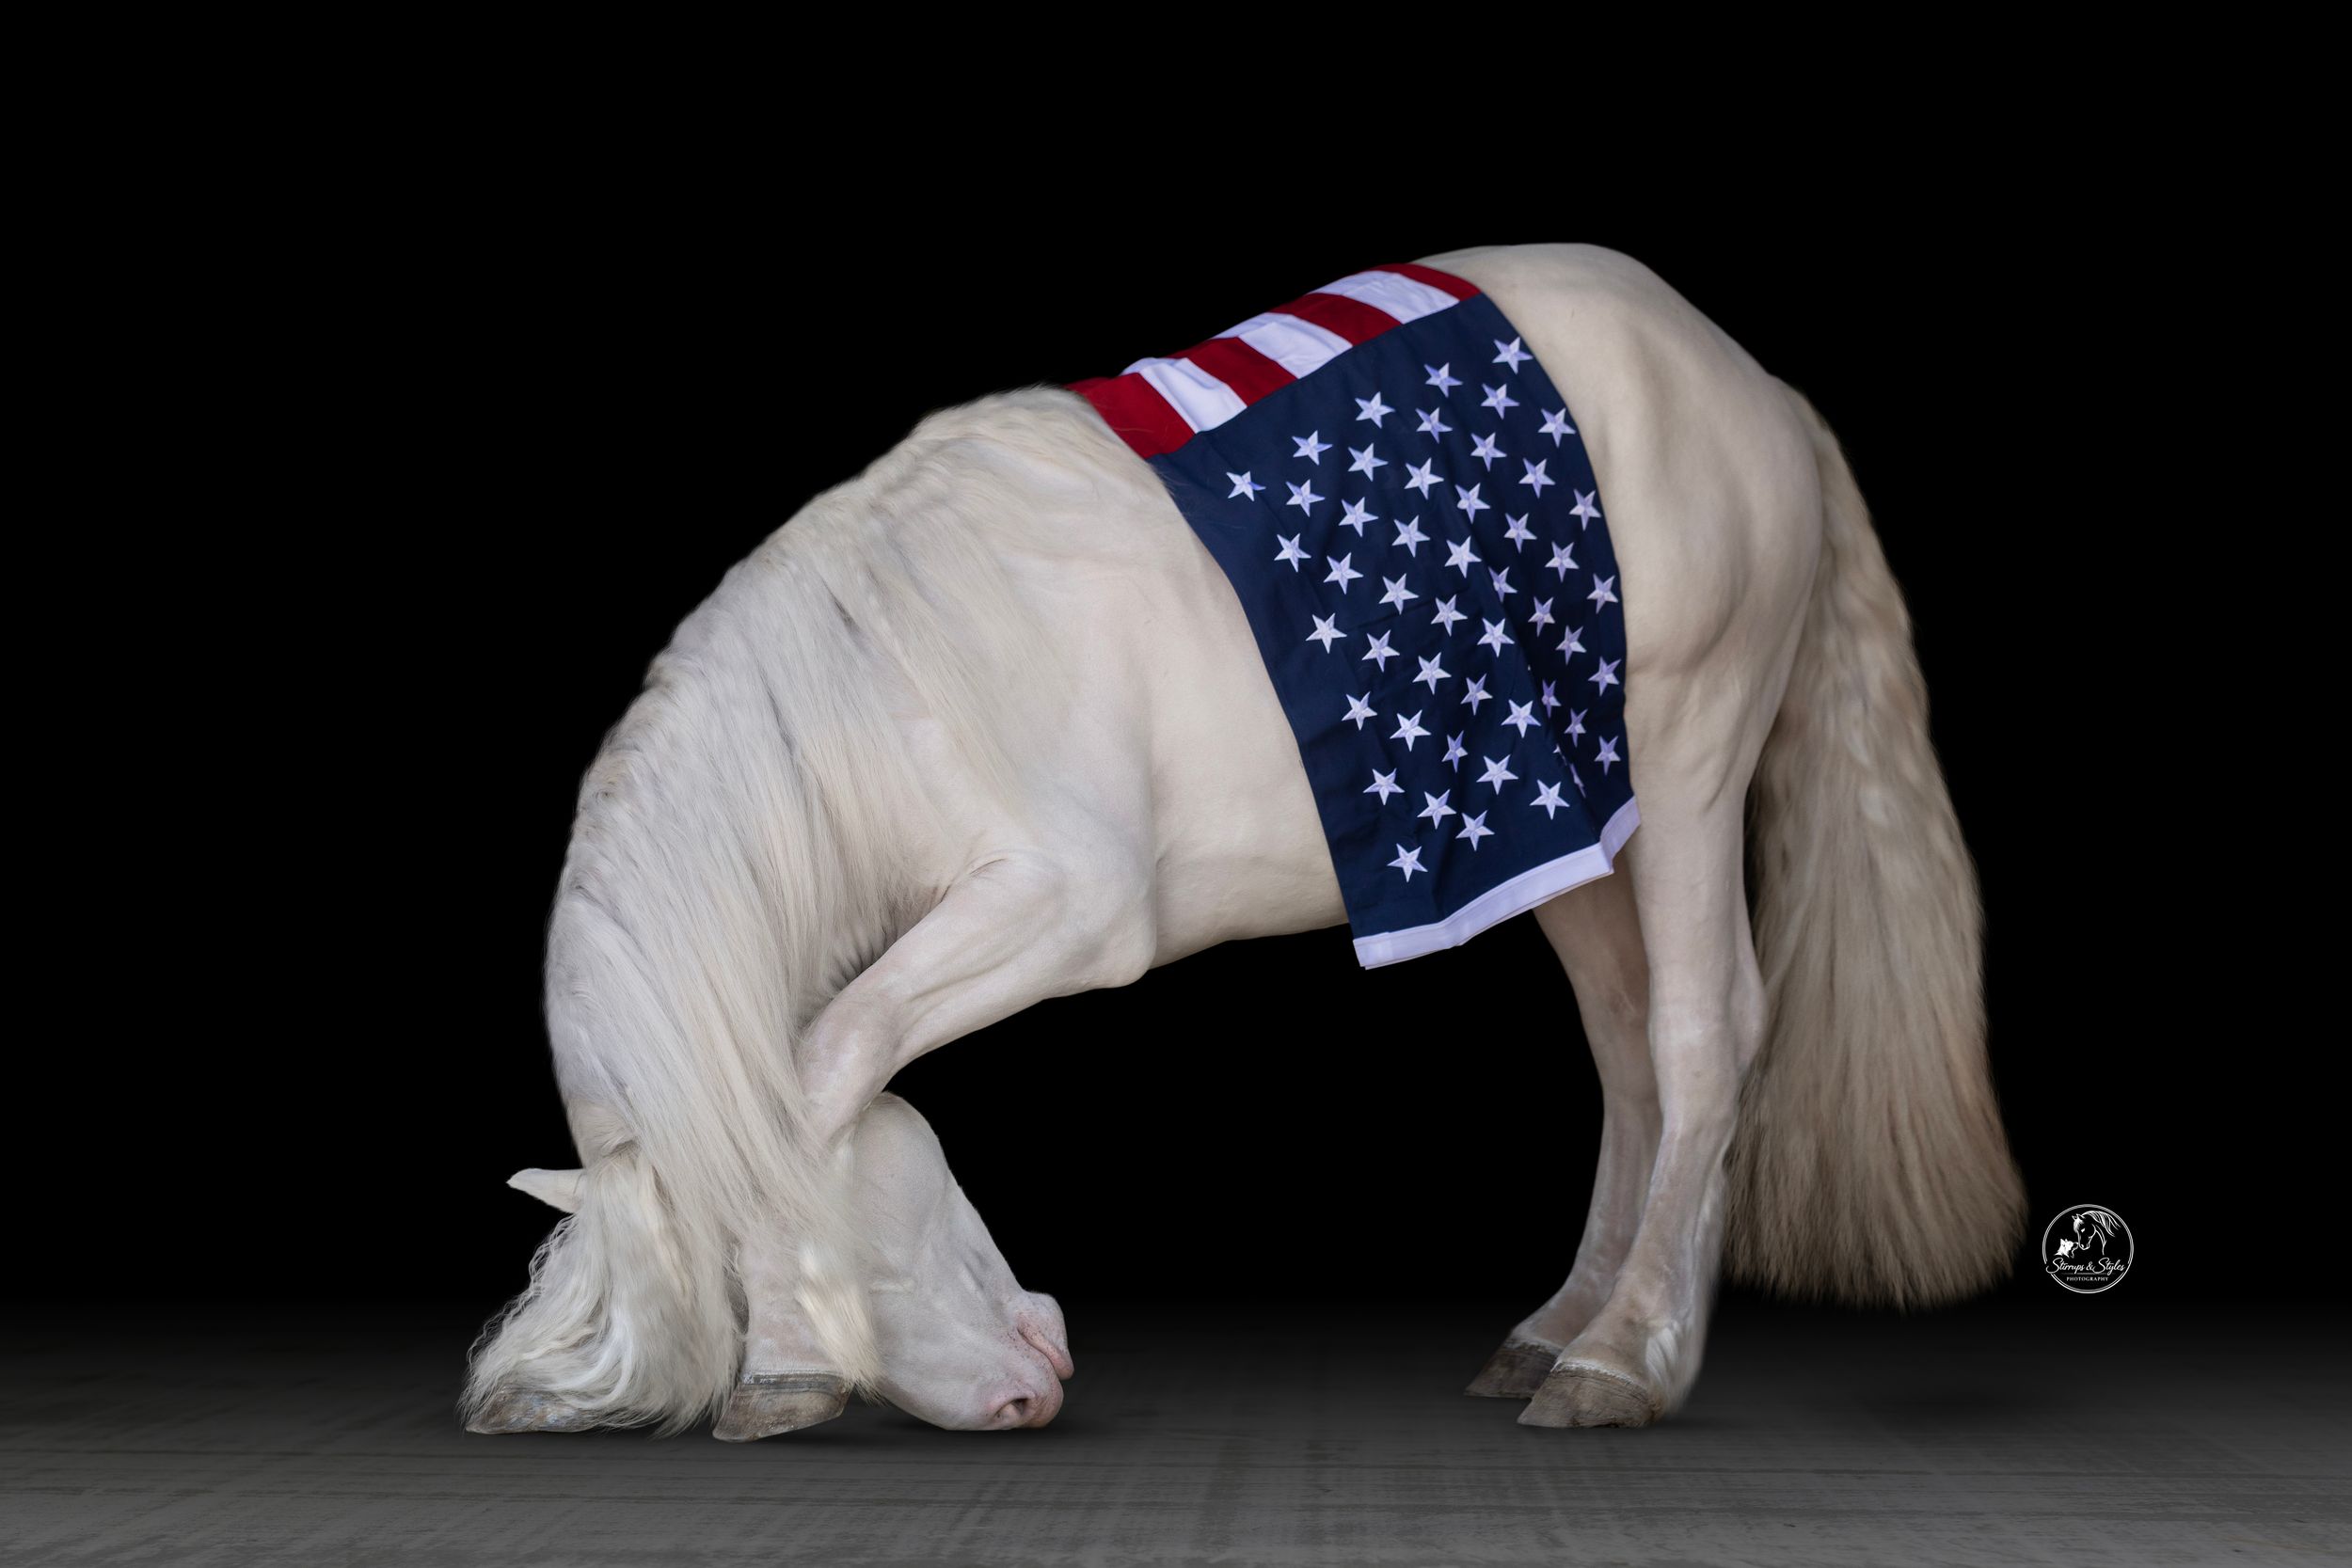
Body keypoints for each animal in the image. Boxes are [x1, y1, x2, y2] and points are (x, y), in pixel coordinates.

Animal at [462, 241, 2026, 1440]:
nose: (1044, 1354)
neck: (882, 678)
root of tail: (1747, 380)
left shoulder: (1065, 906)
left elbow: (819, 1072)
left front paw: (788, 1357)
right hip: (1565, 824)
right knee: (1634, 1046)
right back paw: (1562, 1322)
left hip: (1693, 762)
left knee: (1708, 1031)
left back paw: (1622, 1354)